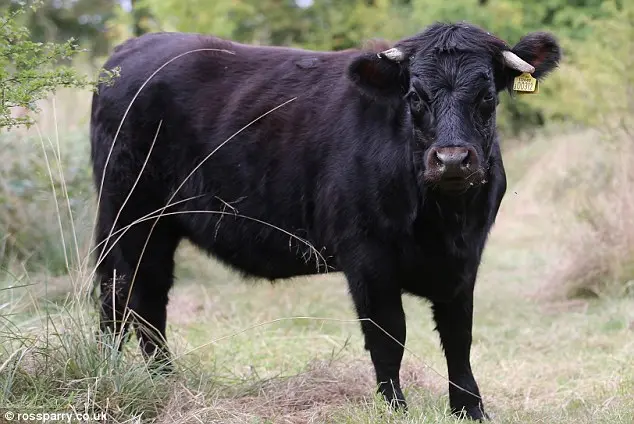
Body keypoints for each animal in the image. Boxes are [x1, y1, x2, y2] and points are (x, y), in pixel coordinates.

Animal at [89, 21, 556, 420]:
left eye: (487, 95)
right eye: (415, 97)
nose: (453, 159)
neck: (442, 219)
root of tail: (135, 47)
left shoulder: (464, 261)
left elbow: (459, 337)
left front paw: (470, 409)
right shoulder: (367, 259)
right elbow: (389, 336)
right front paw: (394, 408)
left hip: (159, 225)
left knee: (150, 298)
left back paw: (166, 381)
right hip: (125, 213)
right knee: (118, 292)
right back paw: (109, 370)